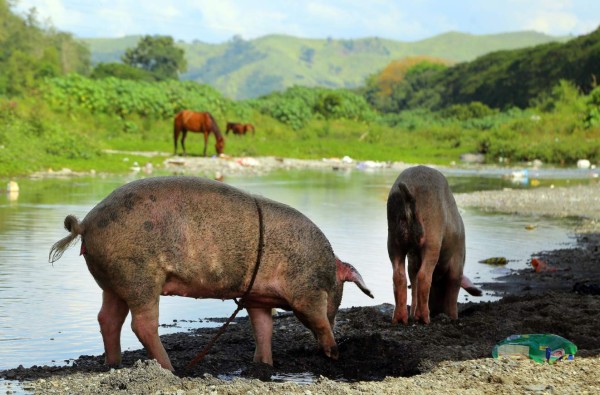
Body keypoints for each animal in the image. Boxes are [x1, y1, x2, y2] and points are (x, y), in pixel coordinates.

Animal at [386, 166, 480, 326]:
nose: (437, 310)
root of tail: (409, 193)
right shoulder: (458, 259)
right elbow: (454, 284)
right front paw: (453, 318)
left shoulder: (412, 260)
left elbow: (413, 280)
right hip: (432, 238)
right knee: (424, 276)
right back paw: (424, 319)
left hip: (393, 238)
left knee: (399, 276)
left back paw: (400, 320)